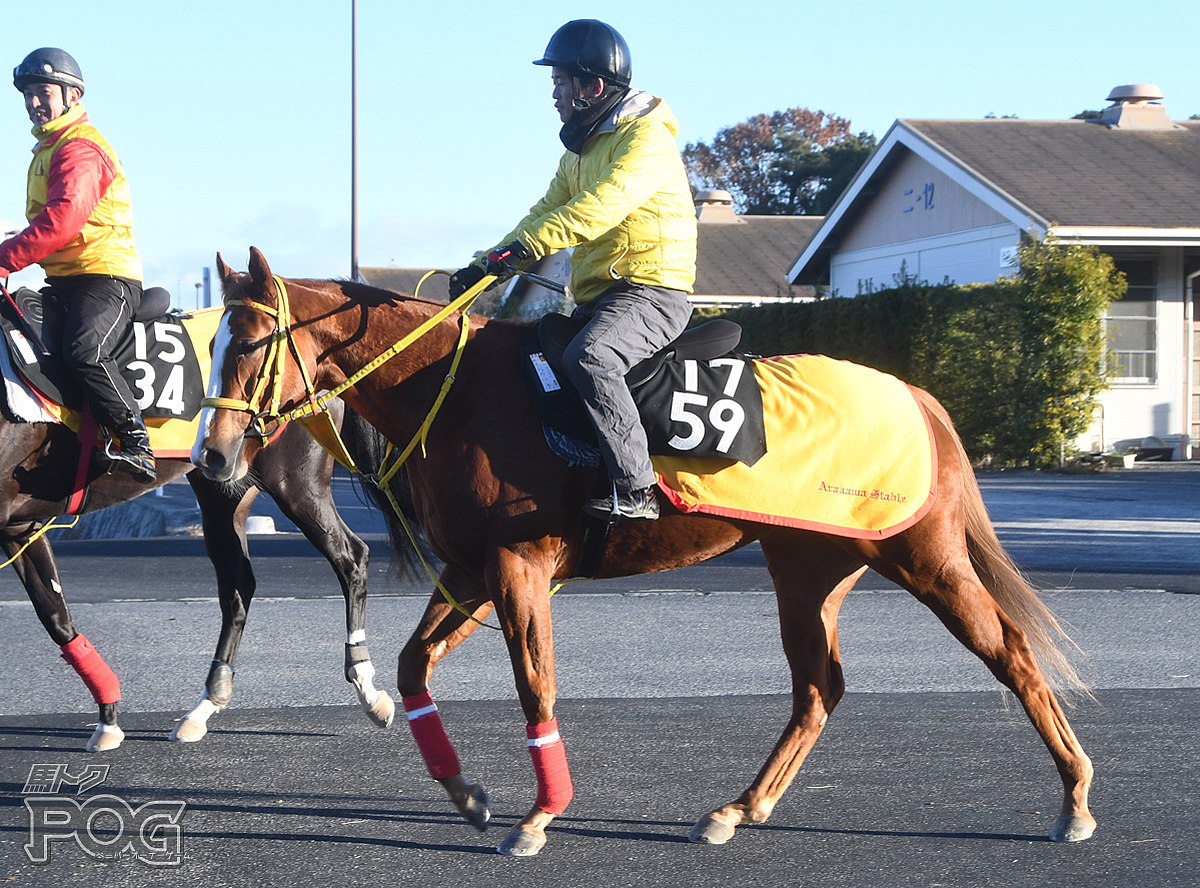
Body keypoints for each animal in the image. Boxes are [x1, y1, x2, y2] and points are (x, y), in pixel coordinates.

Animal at [4, 374, 415, 748]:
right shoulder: (18, 526)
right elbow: (55, 616)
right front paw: (107, 716)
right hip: (224, 489)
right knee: (239, 587)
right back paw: (204, 706)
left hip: (295, 482)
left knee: (351, 557)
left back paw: (366, 685)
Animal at [194, 246, 1099, 854]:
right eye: (211, 341)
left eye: (249, 343)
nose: (214, 455)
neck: (461, 391)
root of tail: (914, 394)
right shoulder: (470, 571)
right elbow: (415, 667)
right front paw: (465, 792)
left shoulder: (520, 567)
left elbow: (535, 683)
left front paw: (538, 812)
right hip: (809, 571)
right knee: (818, 689)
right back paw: (739, 808)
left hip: (923, 556)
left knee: (1011, 652)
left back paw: (1076, 798)